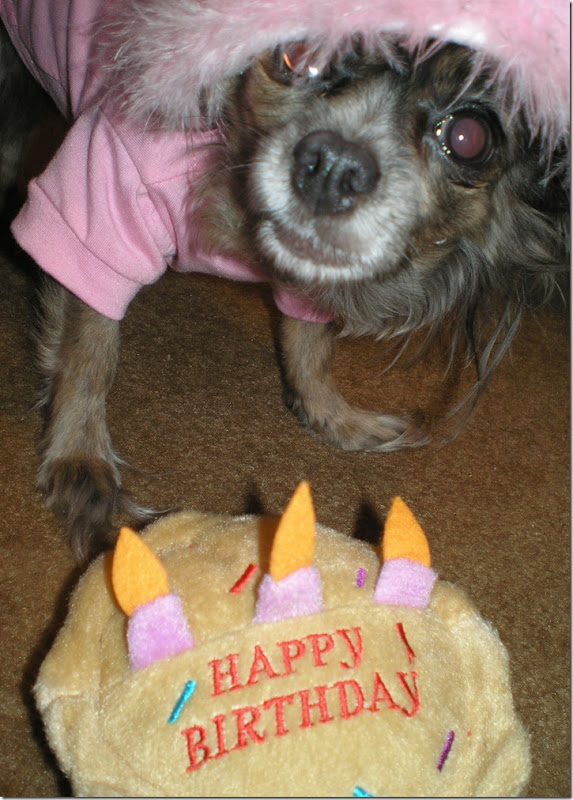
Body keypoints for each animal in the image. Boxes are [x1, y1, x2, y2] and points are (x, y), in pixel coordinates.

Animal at [0, 14, 568, 561]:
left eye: (470, 137)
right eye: (298, 52)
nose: (336, 163)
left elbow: (309, 345)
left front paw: (331, 415)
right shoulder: (98, 203)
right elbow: (91, 353)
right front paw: (80, 459)